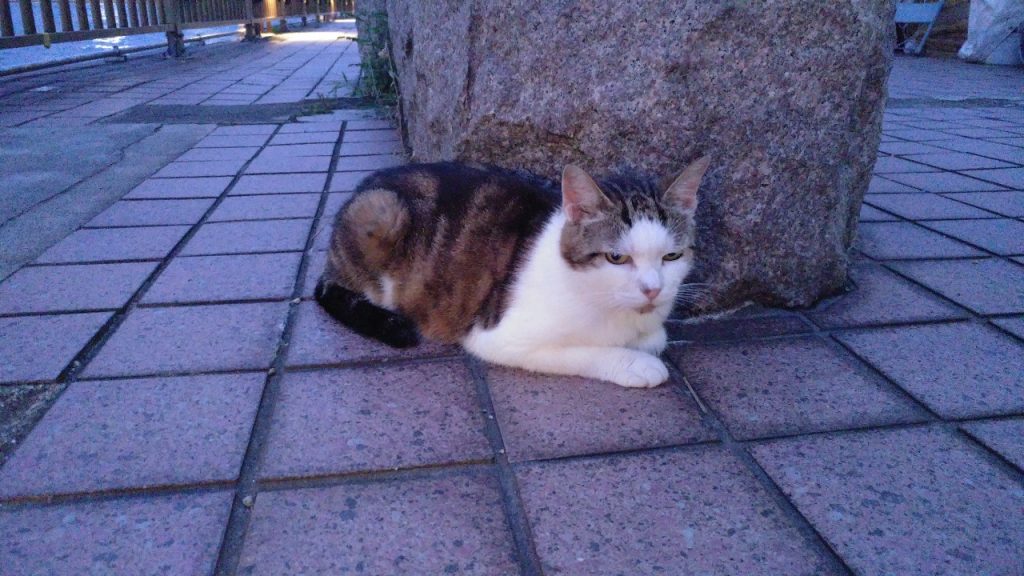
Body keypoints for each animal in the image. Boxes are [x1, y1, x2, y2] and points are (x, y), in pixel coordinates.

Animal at [315, 157, 709, 388]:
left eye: (671, 256)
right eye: (616, 258)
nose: (653, 289)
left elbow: (656, 337)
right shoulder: (500, 337)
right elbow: (584, 351)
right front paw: (635, 364)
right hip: (383, 211)